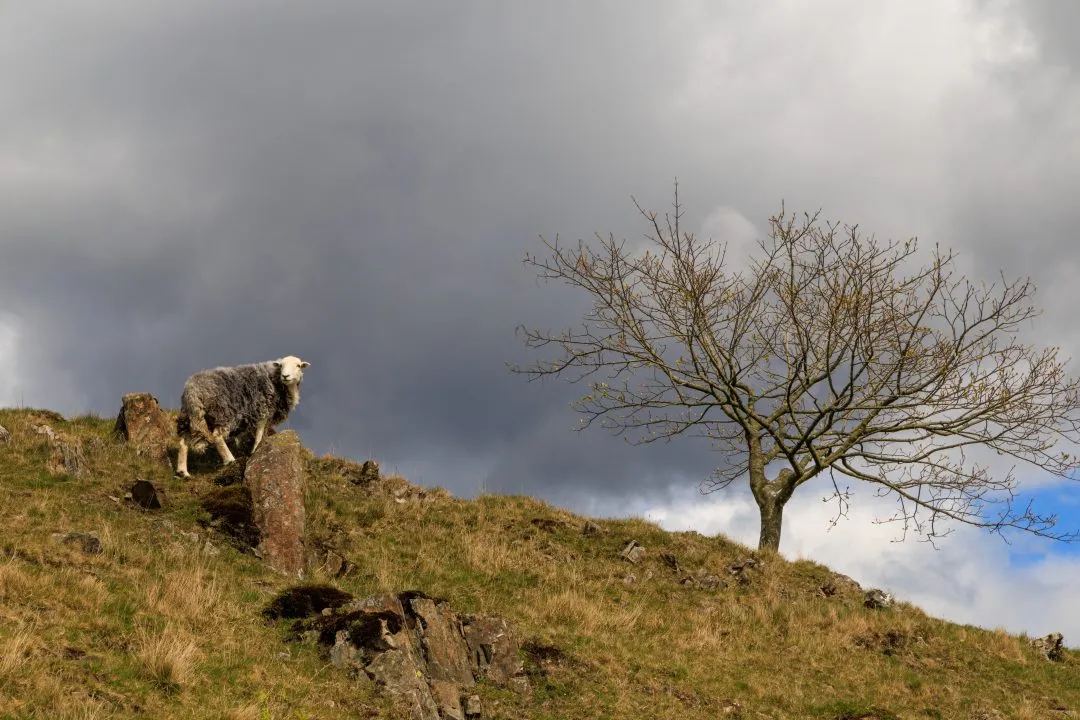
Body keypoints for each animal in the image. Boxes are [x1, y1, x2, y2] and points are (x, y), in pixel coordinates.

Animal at [175, 355, 310, 478]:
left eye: (298, 365)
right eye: (281, 366)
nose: (285, 376)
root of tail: (192, 390)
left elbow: (264, 433)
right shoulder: (263, 410)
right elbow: (259, 433)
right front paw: (255, 450)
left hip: (189, 417)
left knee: (183, 442)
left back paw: (183, 472)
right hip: (222, 412)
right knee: (217, 437)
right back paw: (230, 460)